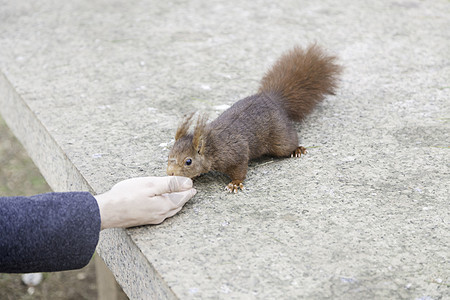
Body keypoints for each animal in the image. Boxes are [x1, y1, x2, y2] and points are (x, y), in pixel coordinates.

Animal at [166, 44, 342, 192]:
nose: (170, 173)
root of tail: (273, 99)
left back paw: (297, 149)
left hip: (280, 138)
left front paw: (235, 184)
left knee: (289, 142)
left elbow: (240, 169)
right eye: (169, 155)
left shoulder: (237, 152)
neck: (212, 148)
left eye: (188, 161)